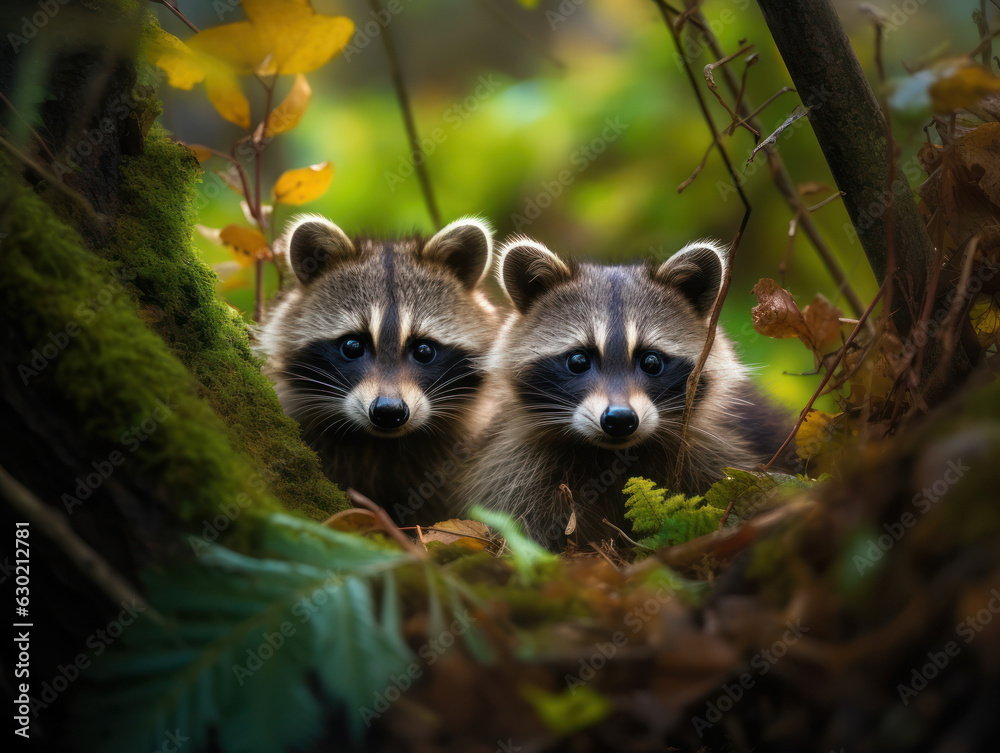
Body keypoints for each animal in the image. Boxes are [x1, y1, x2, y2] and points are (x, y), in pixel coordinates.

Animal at [457, 236, 790, 549]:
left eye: (651, 361)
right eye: (578, 360)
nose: (619, 419)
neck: (610, 458)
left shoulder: (718, 454)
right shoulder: (519, 468)